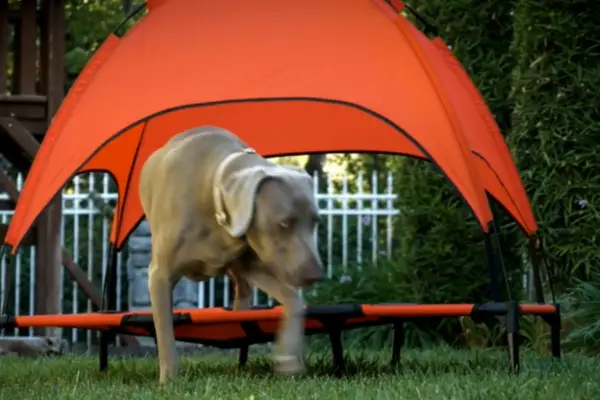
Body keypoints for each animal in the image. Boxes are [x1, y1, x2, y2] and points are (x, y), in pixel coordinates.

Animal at [138, 126, 324, 382]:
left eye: (315, 221)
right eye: (284, 224)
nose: (315, 275)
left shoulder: (252, 262)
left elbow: (294, 301)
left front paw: (289, 362)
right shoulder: (160, 275)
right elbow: (165, 329)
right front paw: (169, 380)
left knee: (243, 287)